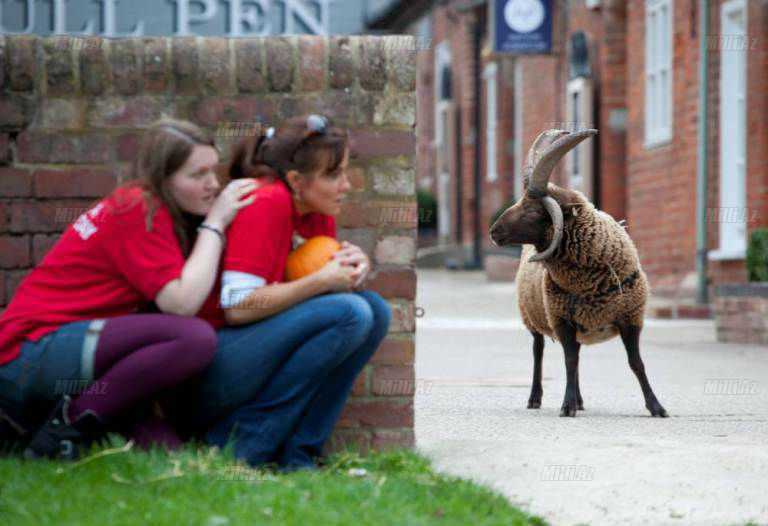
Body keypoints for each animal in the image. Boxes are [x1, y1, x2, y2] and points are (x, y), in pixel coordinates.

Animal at [492, 129, 664, 420]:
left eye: (533, 210)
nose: (493, 231)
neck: (592, 283)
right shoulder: (561, 320)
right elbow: (569, 361)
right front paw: (567, 406)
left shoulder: (630, 318)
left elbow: (636, 363)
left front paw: (656, 406)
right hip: (533, 317)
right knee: (539, 352)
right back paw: (535, 398)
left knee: (575, 357)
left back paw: (580, 400)